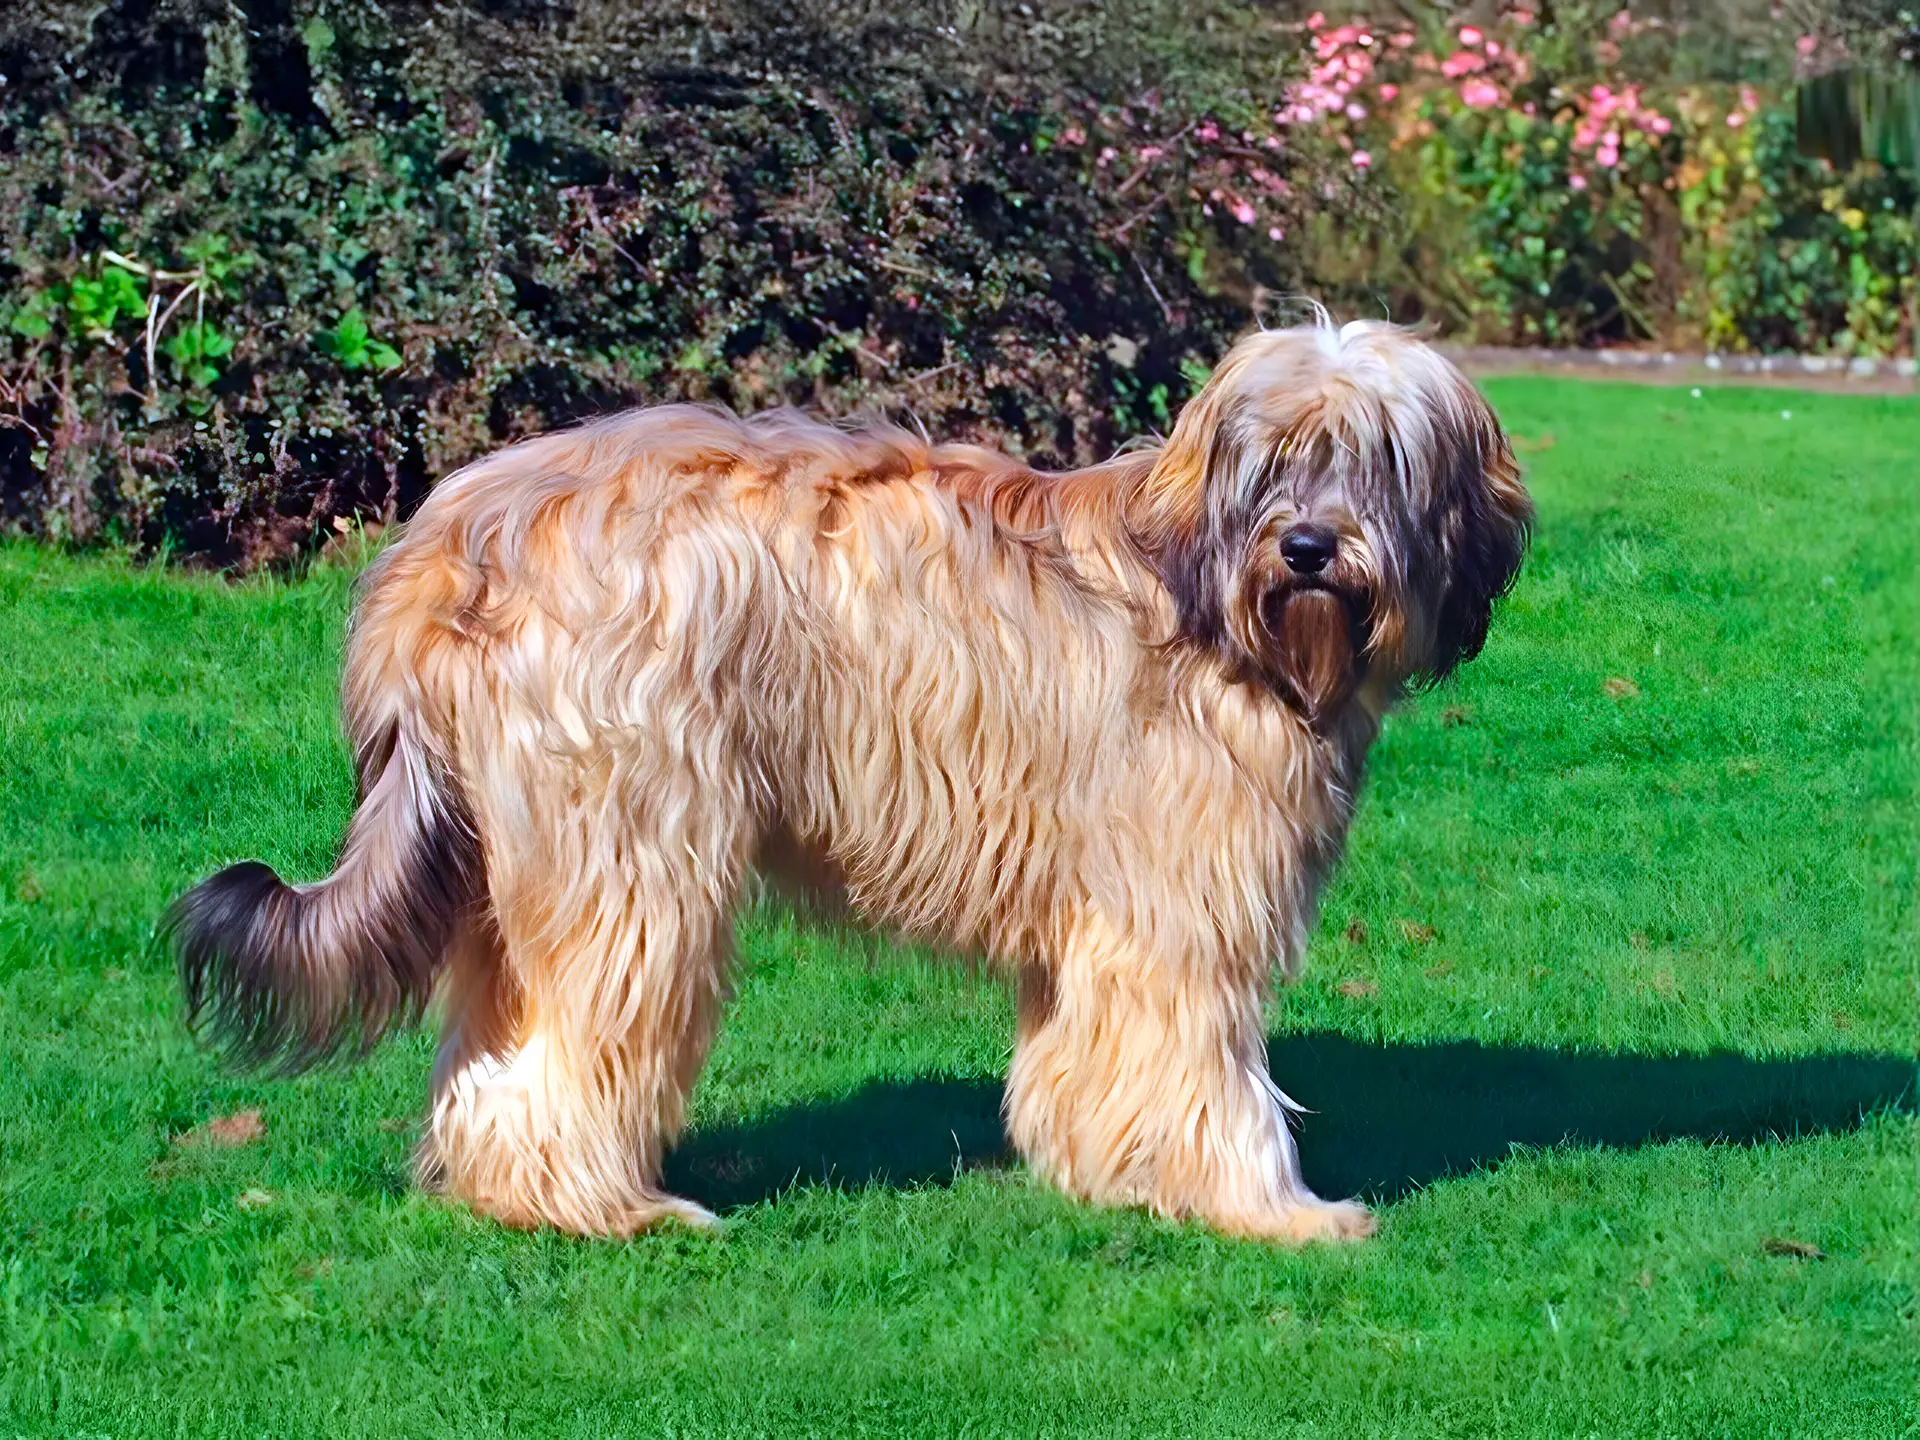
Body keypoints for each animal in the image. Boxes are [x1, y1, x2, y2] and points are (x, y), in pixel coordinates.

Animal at [172, 320, 1536, 1244]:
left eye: (1378, 459)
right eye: (1275, 460)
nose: (1308, 549)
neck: (1215, 605)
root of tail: (450, 537)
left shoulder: (1098, 913)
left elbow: (1085, 1058)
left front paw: (1106, 1173)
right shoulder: (1181, 902)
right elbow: (1209, 1065)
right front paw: (1276, 1210)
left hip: (510, 864)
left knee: (496, 1054)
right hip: (635, 845)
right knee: (587, 1037)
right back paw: (609, 1207)